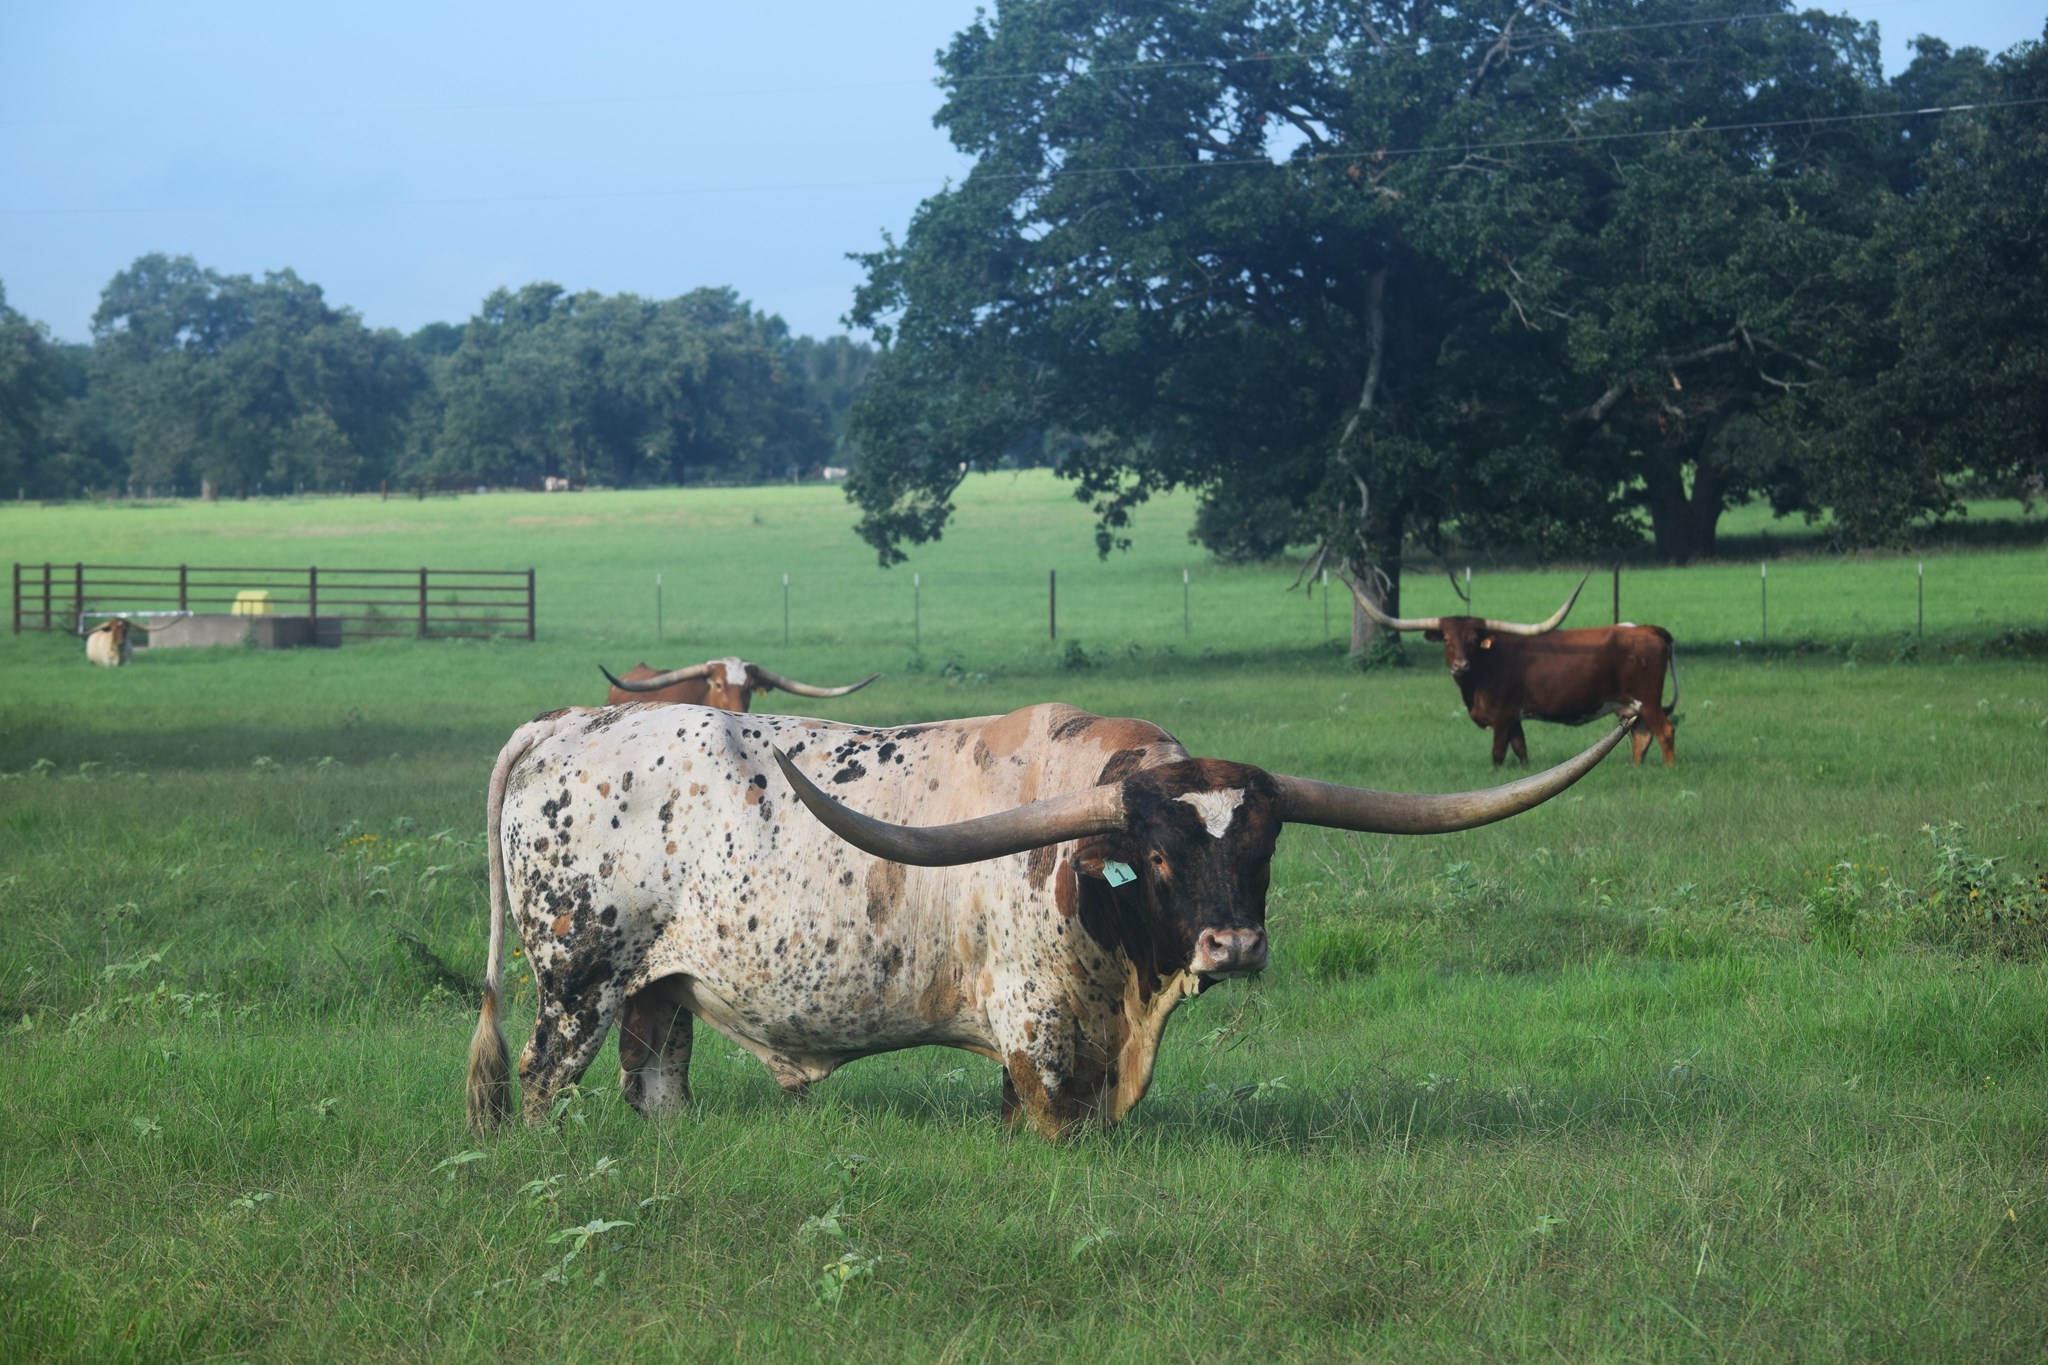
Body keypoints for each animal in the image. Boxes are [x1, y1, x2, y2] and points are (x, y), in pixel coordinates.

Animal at [466, 700, 1636, 1138]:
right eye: (1157, 855)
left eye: (1260, 849)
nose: (1235, 944)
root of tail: (573, 720)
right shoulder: (1039, 1033)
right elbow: (1046, 1120)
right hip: (575, 982)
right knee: (540, 1080)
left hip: (657, 988)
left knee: (655, 1076)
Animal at [1346, 574, 1679, 767]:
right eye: (1447, 640)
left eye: (1473, 639)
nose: (1460, 665)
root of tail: (1647, 629)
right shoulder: (1514, 718)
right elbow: (1521, 751)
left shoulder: (1502, 715)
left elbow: (1498, 754)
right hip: (1630, 706)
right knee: (1642, 737)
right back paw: (1635, 770)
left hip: (1647, 700)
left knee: (1664, 731)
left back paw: (1669, 769)